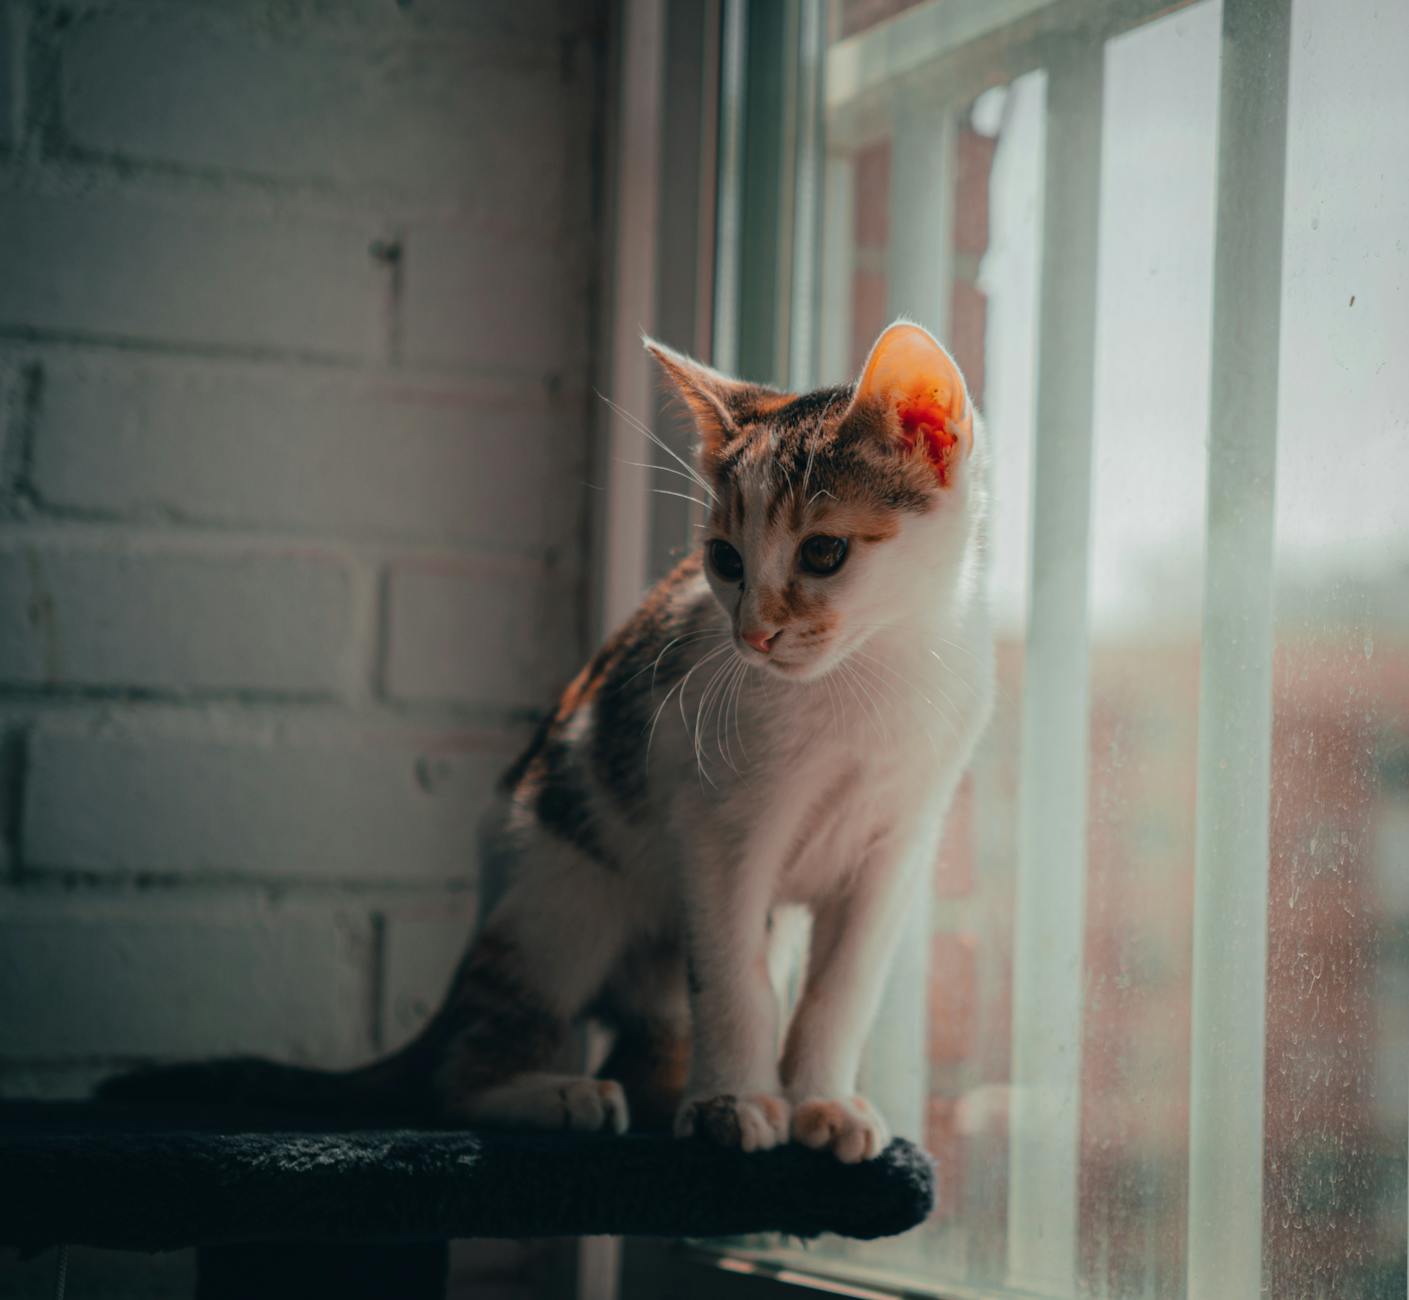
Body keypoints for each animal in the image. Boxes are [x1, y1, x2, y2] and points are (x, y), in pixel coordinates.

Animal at [104, 319, 997, 1166]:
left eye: (822, 552)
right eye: (723, 560)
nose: (752, 635)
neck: (867, 678)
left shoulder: (894, 845)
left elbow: (841, 988)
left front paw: (819, 1103)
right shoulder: (715, 826)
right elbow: (732, 981)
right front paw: (734, 1104)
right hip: (557, 896)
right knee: (461, 1068)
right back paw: (557, 1095)